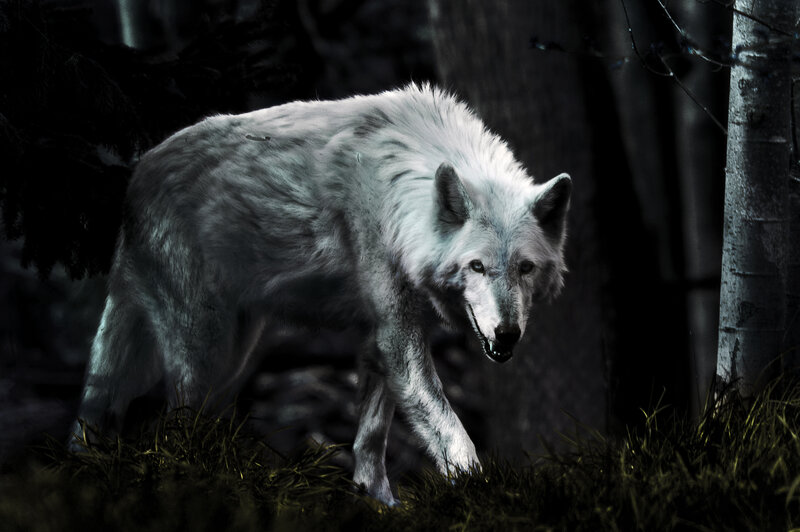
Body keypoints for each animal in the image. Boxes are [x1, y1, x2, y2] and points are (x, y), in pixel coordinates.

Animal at [69, 84, 572, 505]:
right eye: (476, 266)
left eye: (525, 268)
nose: (507, 335)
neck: (400, 192)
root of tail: (136, 179)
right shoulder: (398, 338)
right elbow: (452, 431)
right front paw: (480, 495)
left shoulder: (379, 341)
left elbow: (370, 440)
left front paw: (377, 503)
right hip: (203, 354)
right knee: (172, 426)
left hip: (237, 357)